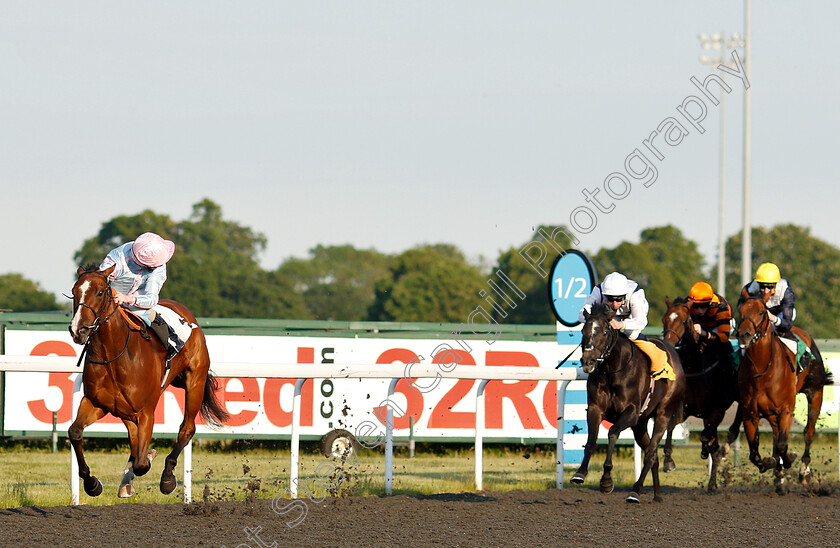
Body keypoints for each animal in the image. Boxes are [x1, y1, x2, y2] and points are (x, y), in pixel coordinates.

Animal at [67, 264, 230, 498]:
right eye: (74, 292)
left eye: (100, 292)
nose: (78, 330)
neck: (115, 354)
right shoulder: (96, 403)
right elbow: (75, 432)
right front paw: (92, 483)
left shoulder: (146, 412)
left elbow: (142, 463)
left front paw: (154, 464)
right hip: (126, 409)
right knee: (134, 437)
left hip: (195, 382)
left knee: (186, 429)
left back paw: (166, 477)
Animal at [568, 302, 684, 504]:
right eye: (583, 331)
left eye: (604, 332)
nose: (588, 361)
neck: (613, 371)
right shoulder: (595, 409)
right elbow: (590, 442)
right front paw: (580, 473)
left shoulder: (630, 413)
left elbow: (613, 432)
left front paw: (606, 481)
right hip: (640, 425)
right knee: (652, 456)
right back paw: (657, 495)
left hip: (663, 413)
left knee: (651, 453)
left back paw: (635, 492)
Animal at [660, 298, 740, 490]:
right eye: (664, 319)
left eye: (683, 321)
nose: (669, 344)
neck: (696, 370)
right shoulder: (684, 409)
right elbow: (671, 426)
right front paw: (668, 461)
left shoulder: (716, 410)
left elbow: (707, 436)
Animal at [740, 298, 832, 490]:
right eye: (740, 310)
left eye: (761, 312)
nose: (744, 335)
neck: (762, 371)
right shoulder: (750, 413)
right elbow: (755, 454)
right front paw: (773, 465)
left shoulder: (786, 410)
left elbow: (783, 445)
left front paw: (789, 459)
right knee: (776, 435)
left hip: (815, 392)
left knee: (809, 431)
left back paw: (804, 472)